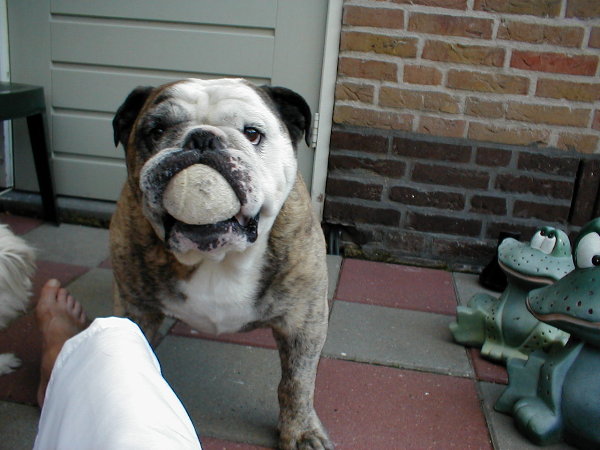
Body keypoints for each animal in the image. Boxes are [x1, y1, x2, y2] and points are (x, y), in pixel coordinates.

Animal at [110, 78, 332, 449]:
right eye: (156, 130)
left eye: (253, 133)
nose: (202, 138)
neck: (217, 256)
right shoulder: (135, 309)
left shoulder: (304, 321)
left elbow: (298, 382)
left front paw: (301, 432)